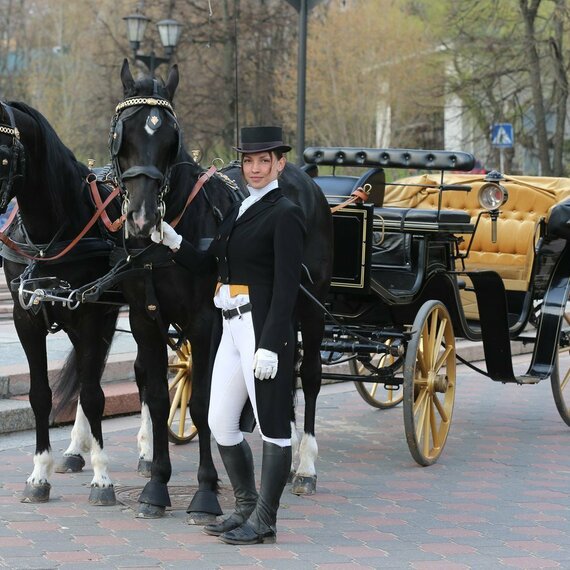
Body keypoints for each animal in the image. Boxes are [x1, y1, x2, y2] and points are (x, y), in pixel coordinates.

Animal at [0, 101, 120, 502]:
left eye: (3, 157)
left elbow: (95, 394)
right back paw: (74, 450)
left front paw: (103, 477)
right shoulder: (26, 318)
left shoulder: (94, 314)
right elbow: (41, 394)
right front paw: (40, 474)